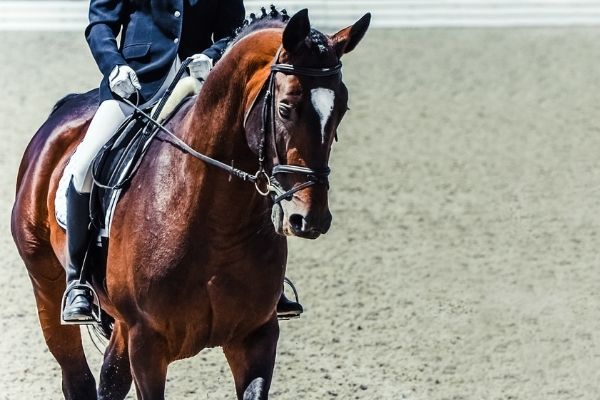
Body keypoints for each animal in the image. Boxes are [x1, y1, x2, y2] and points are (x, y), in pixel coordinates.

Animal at [10, 7, 370, 398]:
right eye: (286, 108)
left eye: (342, 108)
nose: (310, 218)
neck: (216, 221)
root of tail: (68, 108)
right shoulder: (146, 343)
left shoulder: (256, 336)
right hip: (47, 286)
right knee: (77, 376)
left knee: (110, 378)